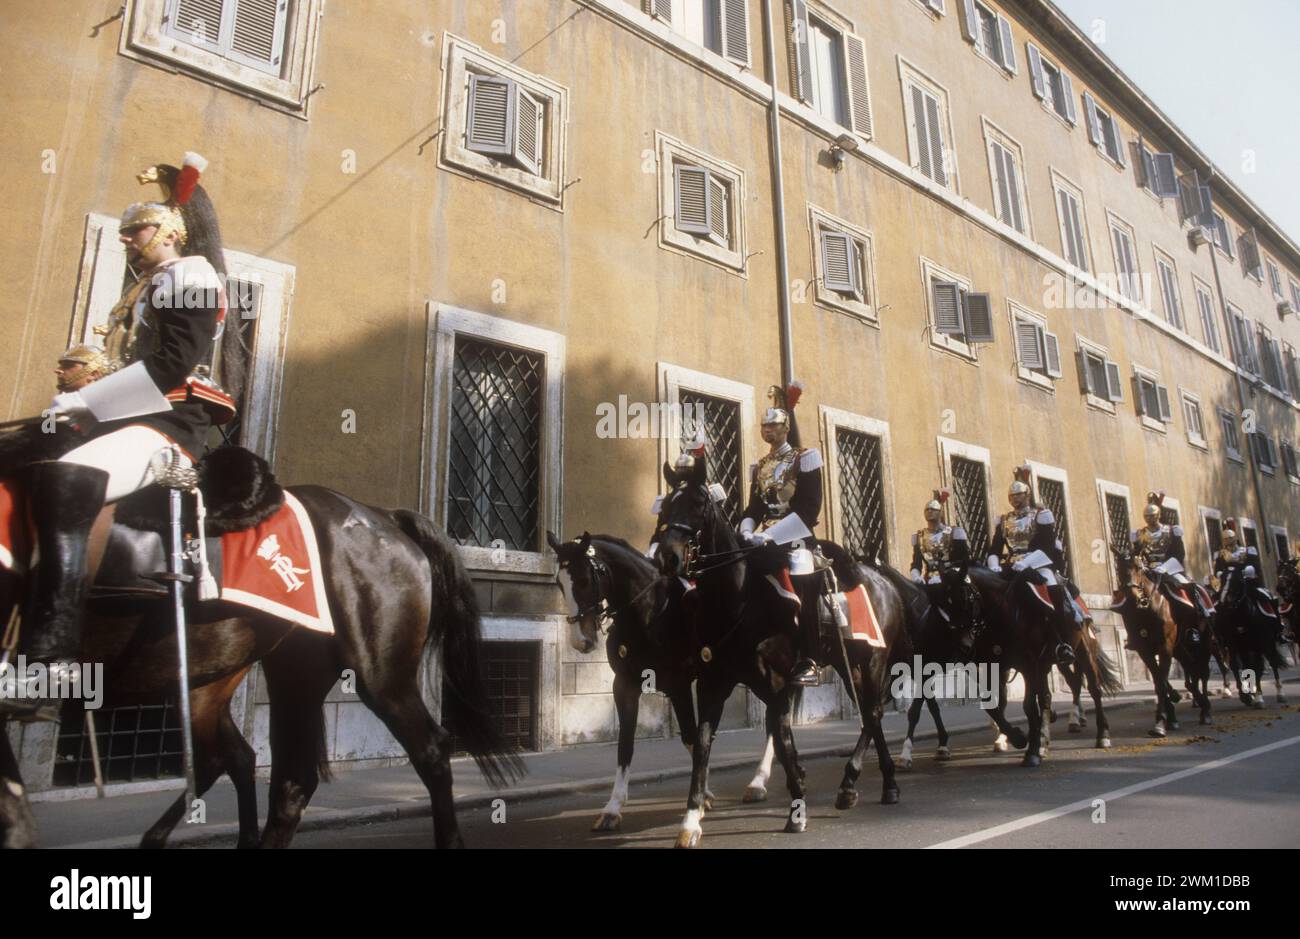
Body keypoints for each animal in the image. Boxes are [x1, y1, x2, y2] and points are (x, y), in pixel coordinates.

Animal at [650, 457, 915, 842]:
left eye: (698, 504)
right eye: (668, 506)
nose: (668, 557)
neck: (739, 599)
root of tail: (884, 580)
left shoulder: (776, 684)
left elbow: (783, 738)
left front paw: (797, 808)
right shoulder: (715, 684)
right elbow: (704, 743)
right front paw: (690, 820)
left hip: (873, 661)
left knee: (874, 712)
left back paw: (852, 782)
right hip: (847, 666)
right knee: (869, 715)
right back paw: (883, 785)